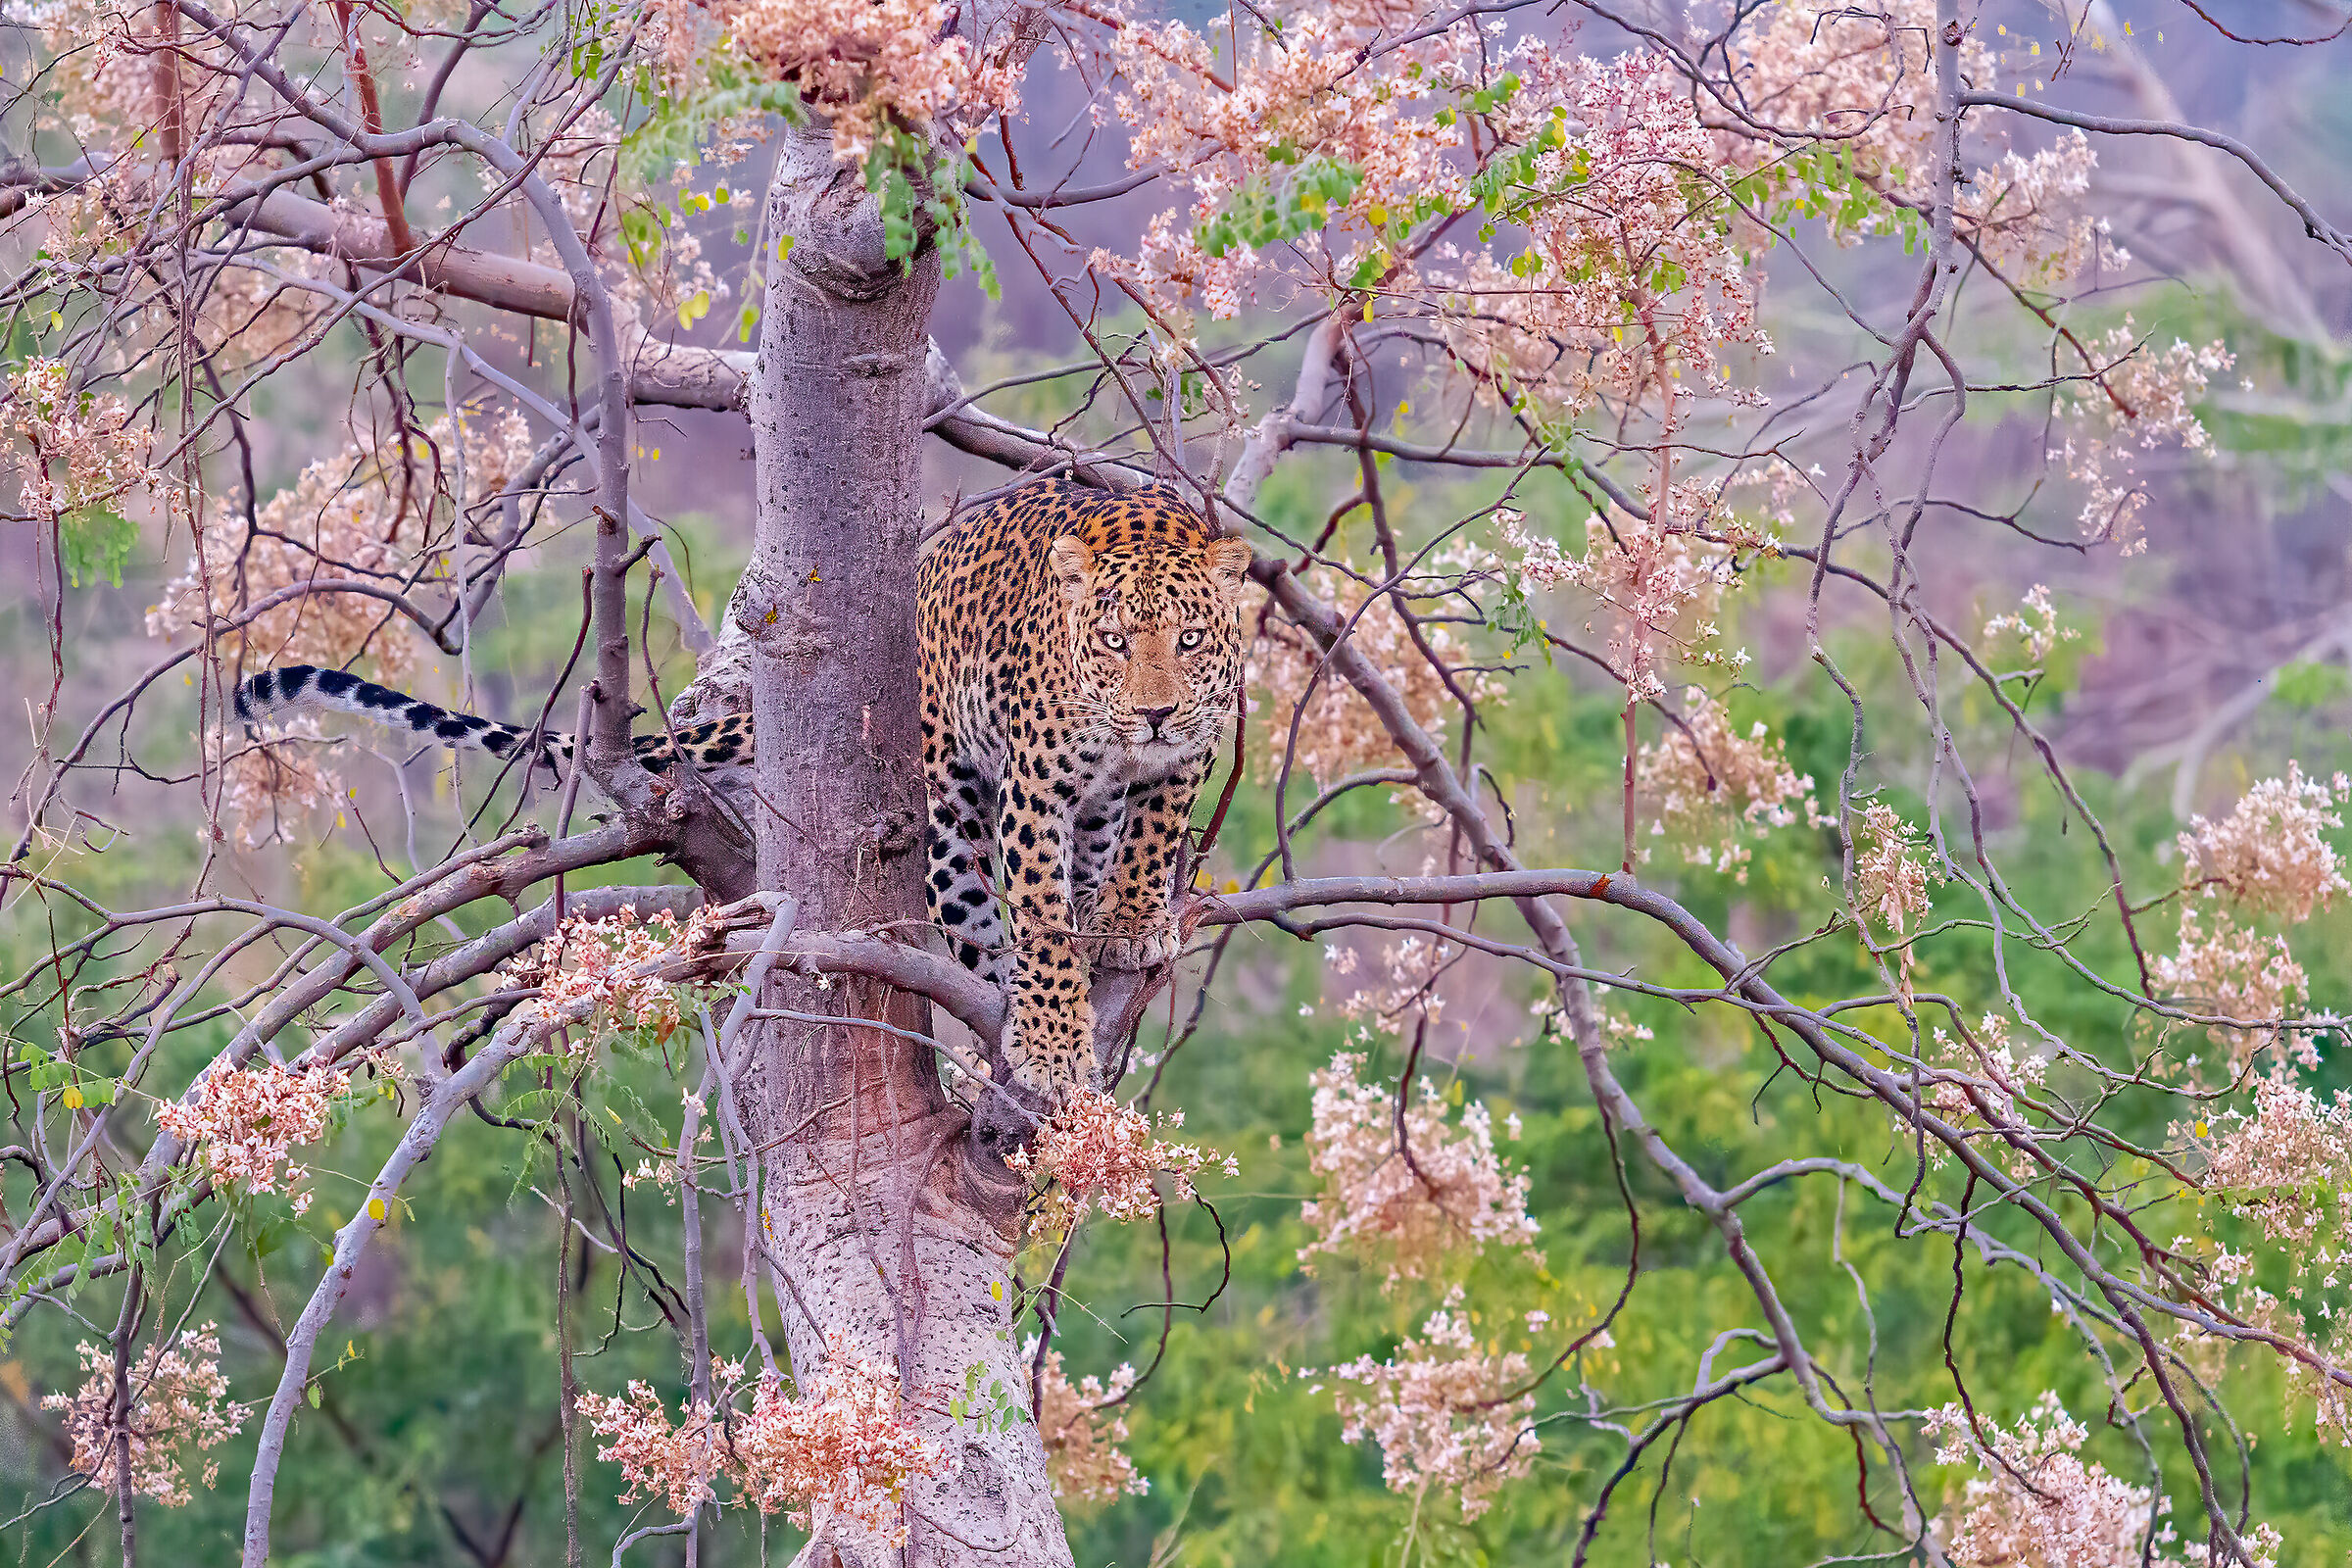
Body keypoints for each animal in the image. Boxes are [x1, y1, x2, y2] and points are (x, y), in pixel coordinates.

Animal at [919, 480, 1252, 1105]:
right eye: (1114, 641)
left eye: (1190, 639)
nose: (1155, 714)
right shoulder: (1034, 790)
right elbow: (1042, 914)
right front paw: (1052, 1045)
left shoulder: (1188, 757)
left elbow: (1152, 838)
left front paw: (1129, 924)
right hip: (951, 811)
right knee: (969, 920)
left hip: (1097, 820)